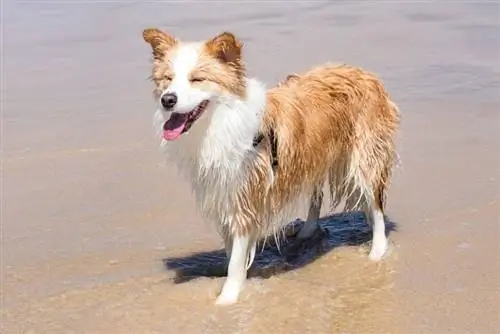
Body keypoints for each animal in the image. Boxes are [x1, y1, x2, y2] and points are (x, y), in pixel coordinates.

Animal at [143, 28, 400, 306]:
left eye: (197, 79)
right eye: (167, 79)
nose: (168, 100)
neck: (219, 122)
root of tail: (365, 73)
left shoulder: (245, 198)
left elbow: (236, 259)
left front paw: (227, 299)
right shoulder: (223, 193)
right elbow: (232, 251)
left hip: (364, 159)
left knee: (376, 206)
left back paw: (377, 252)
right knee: (317, 195)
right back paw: (307, 230)